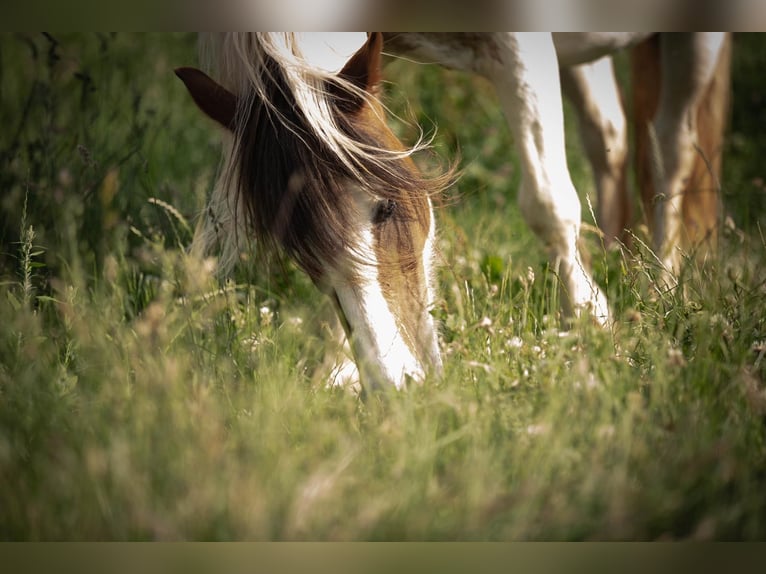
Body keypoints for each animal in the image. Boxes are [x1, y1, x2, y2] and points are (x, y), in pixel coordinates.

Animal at [178, 31, 732, 392]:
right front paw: (339, 371)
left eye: (387, 208)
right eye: (298, 250)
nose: (397, 386)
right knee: (609, 137)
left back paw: (659, 286)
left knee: (669, 150)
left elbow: (548, 201)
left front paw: (591, 327)